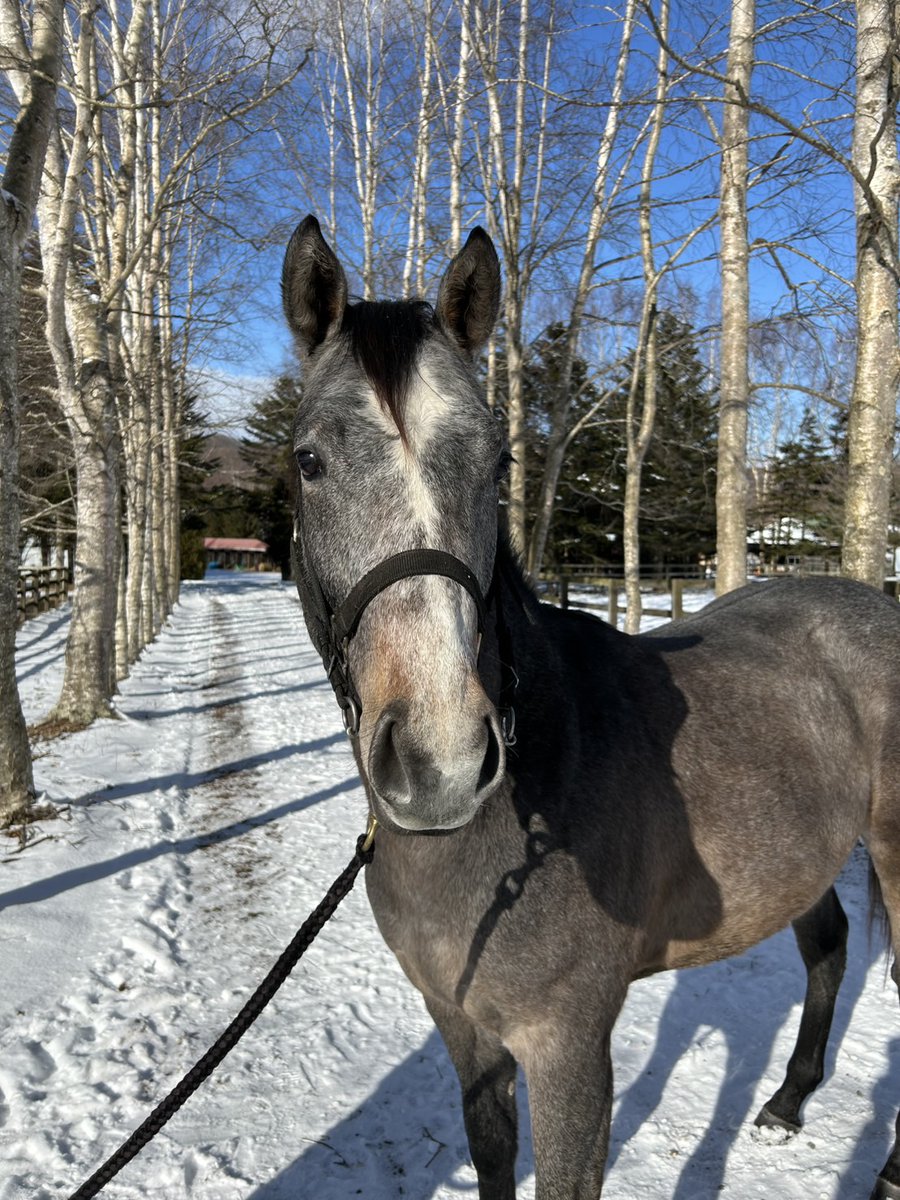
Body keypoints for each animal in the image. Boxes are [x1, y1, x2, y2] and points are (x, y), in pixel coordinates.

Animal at [282, 213, 900, 1199]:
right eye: (309, 460)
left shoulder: (569, 1052)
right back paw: (787, 1101)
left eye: (497, 460)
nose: (440, 759)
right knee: (829, 944)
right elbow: (493, 1158)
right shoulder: (465, 1033)